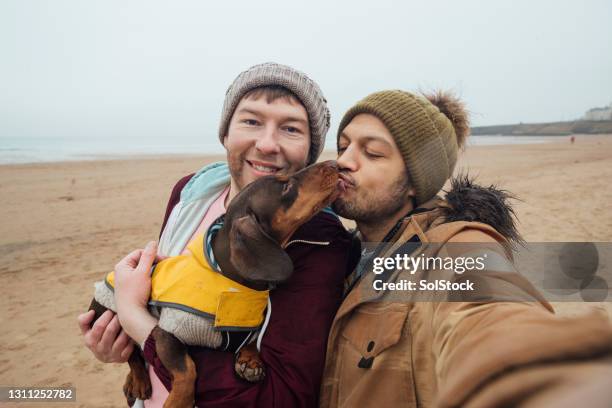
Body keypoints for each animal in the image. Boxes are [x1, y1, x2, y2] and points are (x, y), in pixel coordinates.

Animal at [86, 162, 344, 408]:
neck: (233, 285)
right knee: (132, 353)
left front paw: (250, 360)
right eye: (285, 186)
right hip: (107, 312)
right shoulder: (166, 332)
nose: (335, 164)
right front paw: (179, 400)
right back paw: (138, 380)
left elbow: (253, 341)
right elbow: (187, 368)